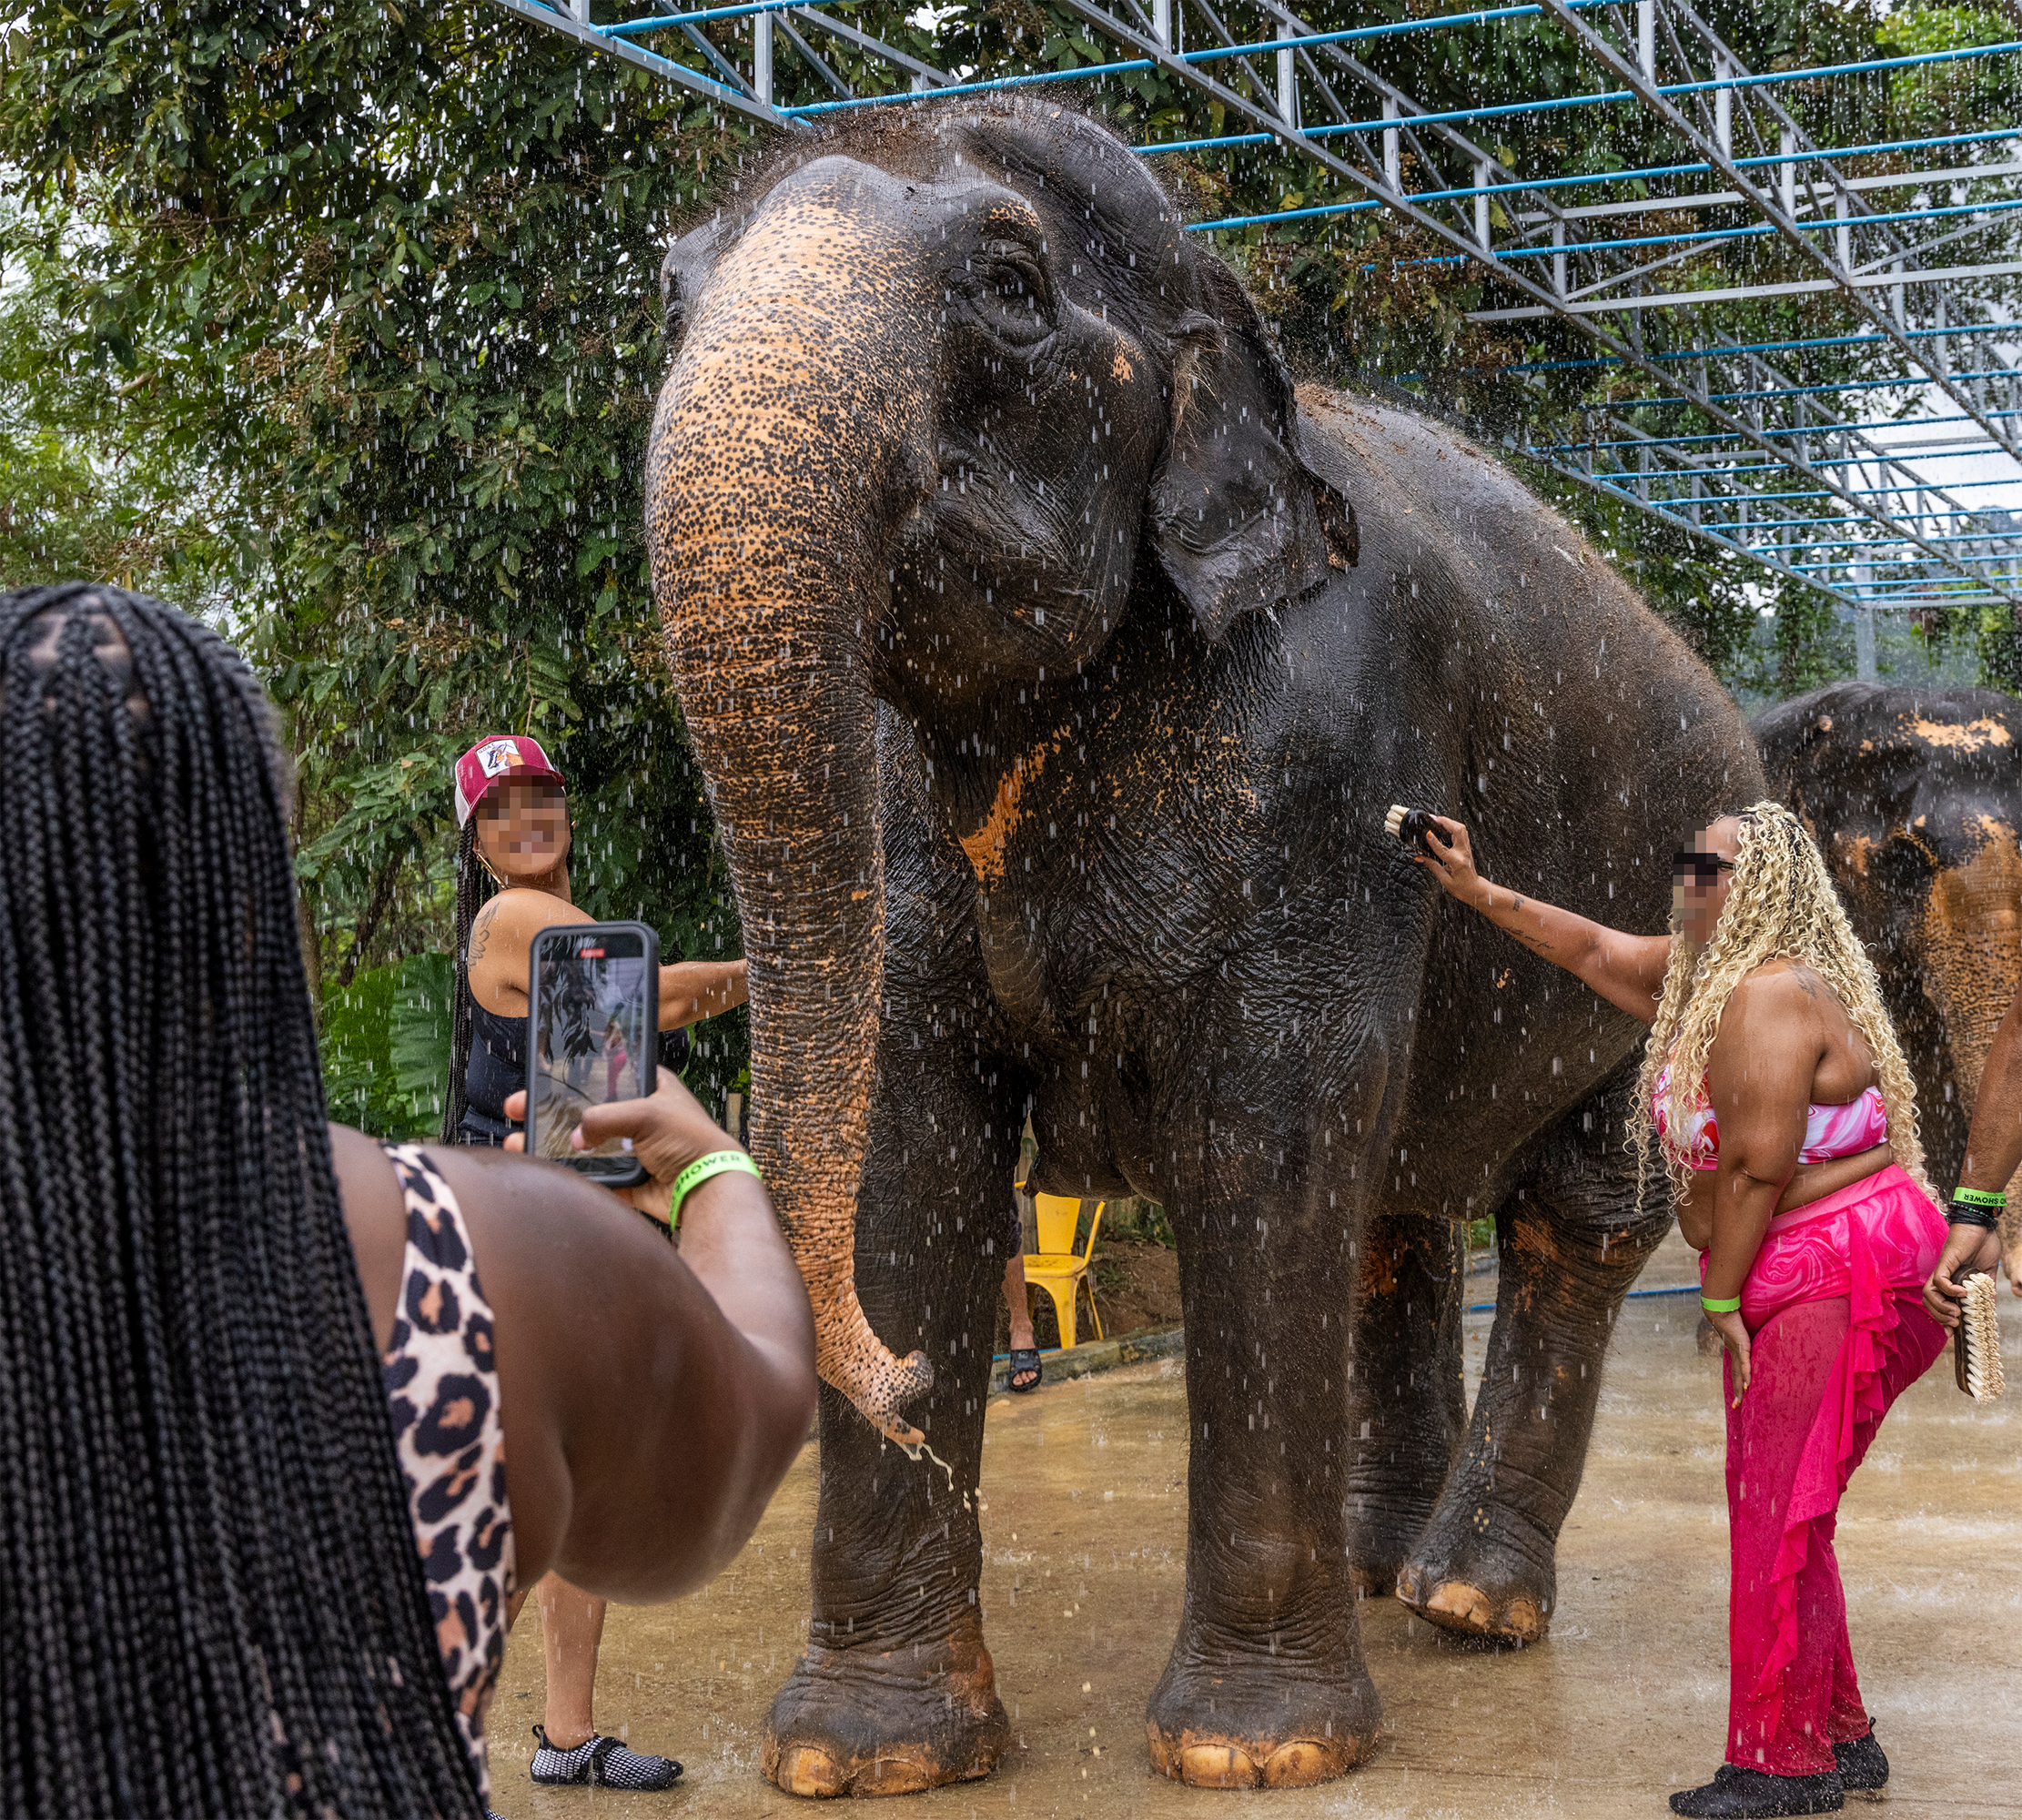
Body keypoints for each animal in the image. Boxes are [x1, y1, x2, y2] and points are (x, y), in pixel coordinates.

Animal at [639, 99, 1763, 1787]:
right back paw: (1381, 1565)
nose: (902, 1378)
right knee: (1396, 1214)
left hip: (1681, 949)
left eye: (1011, 286)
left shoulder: (1328, 754)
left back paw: (1464, 1603)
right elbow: (914, 1145)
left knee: (1573, 1210)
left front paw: (1257, 1753)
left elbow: (1266, 1136)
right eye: (675, 296)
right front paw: (864, 1760)